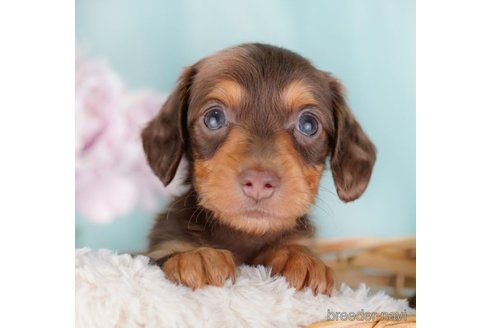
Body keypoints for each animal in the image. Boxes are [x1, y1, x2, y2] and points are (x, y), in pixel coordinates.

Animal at [142, 43, 376, 294]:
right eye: (214, 118)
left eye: (308, 124)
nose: (259, 183)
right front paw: (196, 256)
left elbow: (294, 247)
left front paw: (301, 259)